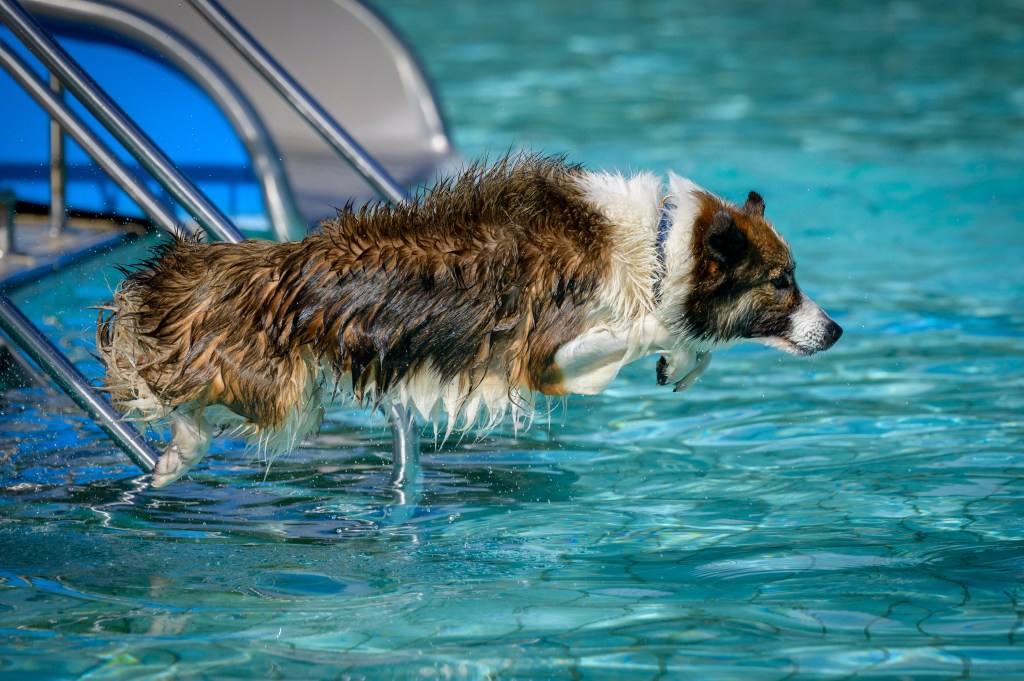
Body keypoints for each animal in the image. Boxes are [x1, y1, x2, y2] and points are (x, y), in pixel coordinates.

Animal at [99, 153, 843, 483]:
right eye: (781, 282)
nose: (836, 330)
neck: (660, 248)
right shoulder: (545, 354)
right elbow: (640, 327)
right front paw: (674, 342)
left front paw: (684, 360)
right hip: (282, 393)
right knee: (185, 398)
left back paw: (171, 461)